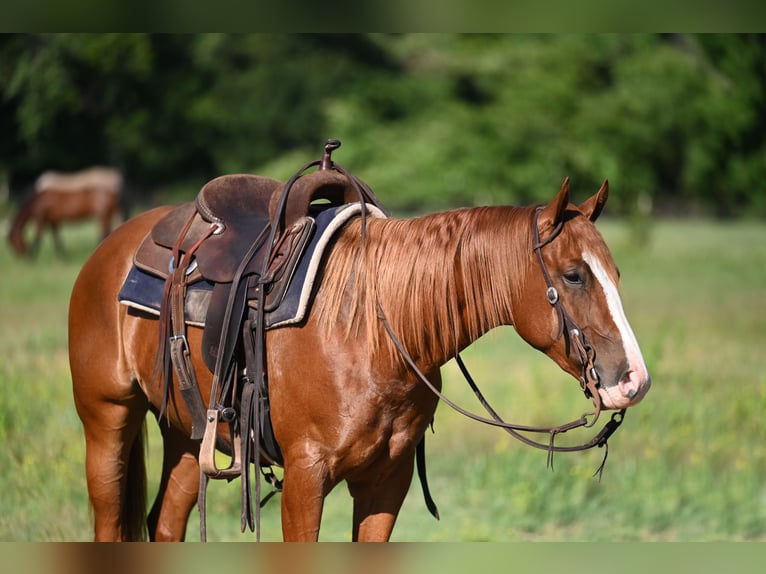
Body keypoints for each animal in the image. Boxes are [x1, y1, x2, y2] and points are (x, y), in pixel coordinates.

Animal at [69, 178, 652, 544]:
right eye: (574, 275)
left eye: (618, 273)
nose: (633, 380)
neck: (371, 330)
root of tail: (113, 246)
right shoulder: (306, 480)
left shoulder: (385, 481)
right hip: (107, 420)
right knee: (109, 522)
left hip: (189, 438)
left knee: (165, 524)